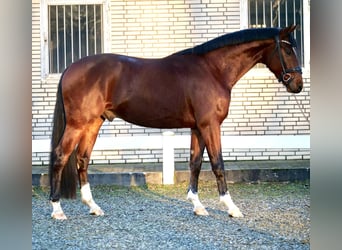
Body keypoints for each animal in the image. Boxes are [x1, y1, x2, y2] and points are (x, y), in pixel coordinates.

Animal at [48, 24, 302, 219]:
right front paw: (231, 207)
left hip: (93, 123)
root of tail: (70, 68)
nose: (297, 84)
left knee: (82, 159)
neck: (213, 70)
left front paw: (197, 206)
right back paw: (57, 209)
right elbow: (218, 164)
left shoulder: (198, 128)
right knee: (61, 156)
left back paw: (93, 207)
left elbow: (195, 163)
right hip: (78, 124)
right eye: (288, 49)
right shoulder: (210, 125)